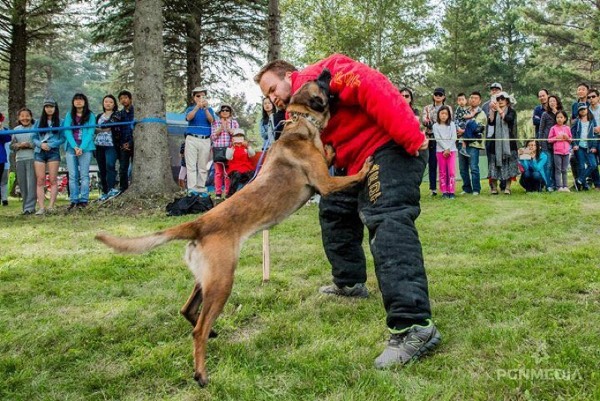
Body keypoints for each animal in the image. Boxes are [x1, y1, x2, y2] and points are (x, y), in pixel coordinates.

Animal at [95, 69, 370, 388]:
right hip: (222, 281)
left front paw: (330, 147)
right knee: (198, 329)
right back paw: (201, 373)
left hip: (206, 279)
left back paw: (211, 333)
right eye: (321, 84)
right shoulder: (325, 183)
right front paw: (365, 167)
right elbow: (348, 174)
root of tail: (198, 223)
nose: (326, 71)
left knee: (187, 310)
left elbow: (330, 152)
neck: (301, 125)